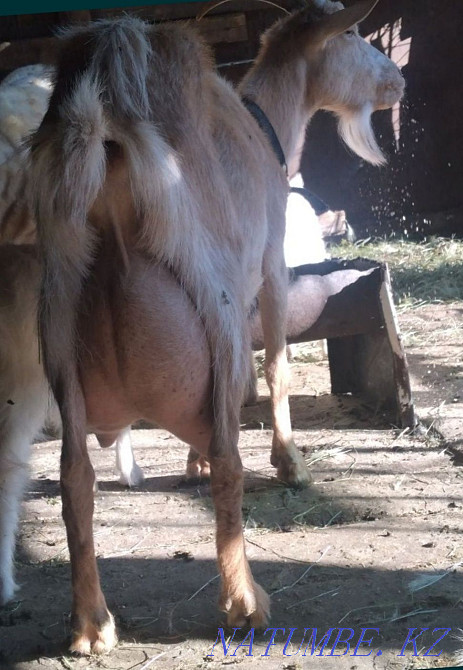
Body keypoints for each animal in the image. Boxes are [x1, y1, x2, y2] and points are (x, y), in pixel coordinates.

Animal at [28, 0, 404, 653]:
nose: (398, 82)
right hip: (217, 302)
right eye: (355, 33)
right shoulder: (273, 261)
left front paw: (191, 461)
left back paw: (93, 624)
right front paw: (290, 462)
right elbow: (276, 366)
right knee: (231, 457)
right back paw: (244, 601)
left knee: (75, 478)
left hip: (59, 329)